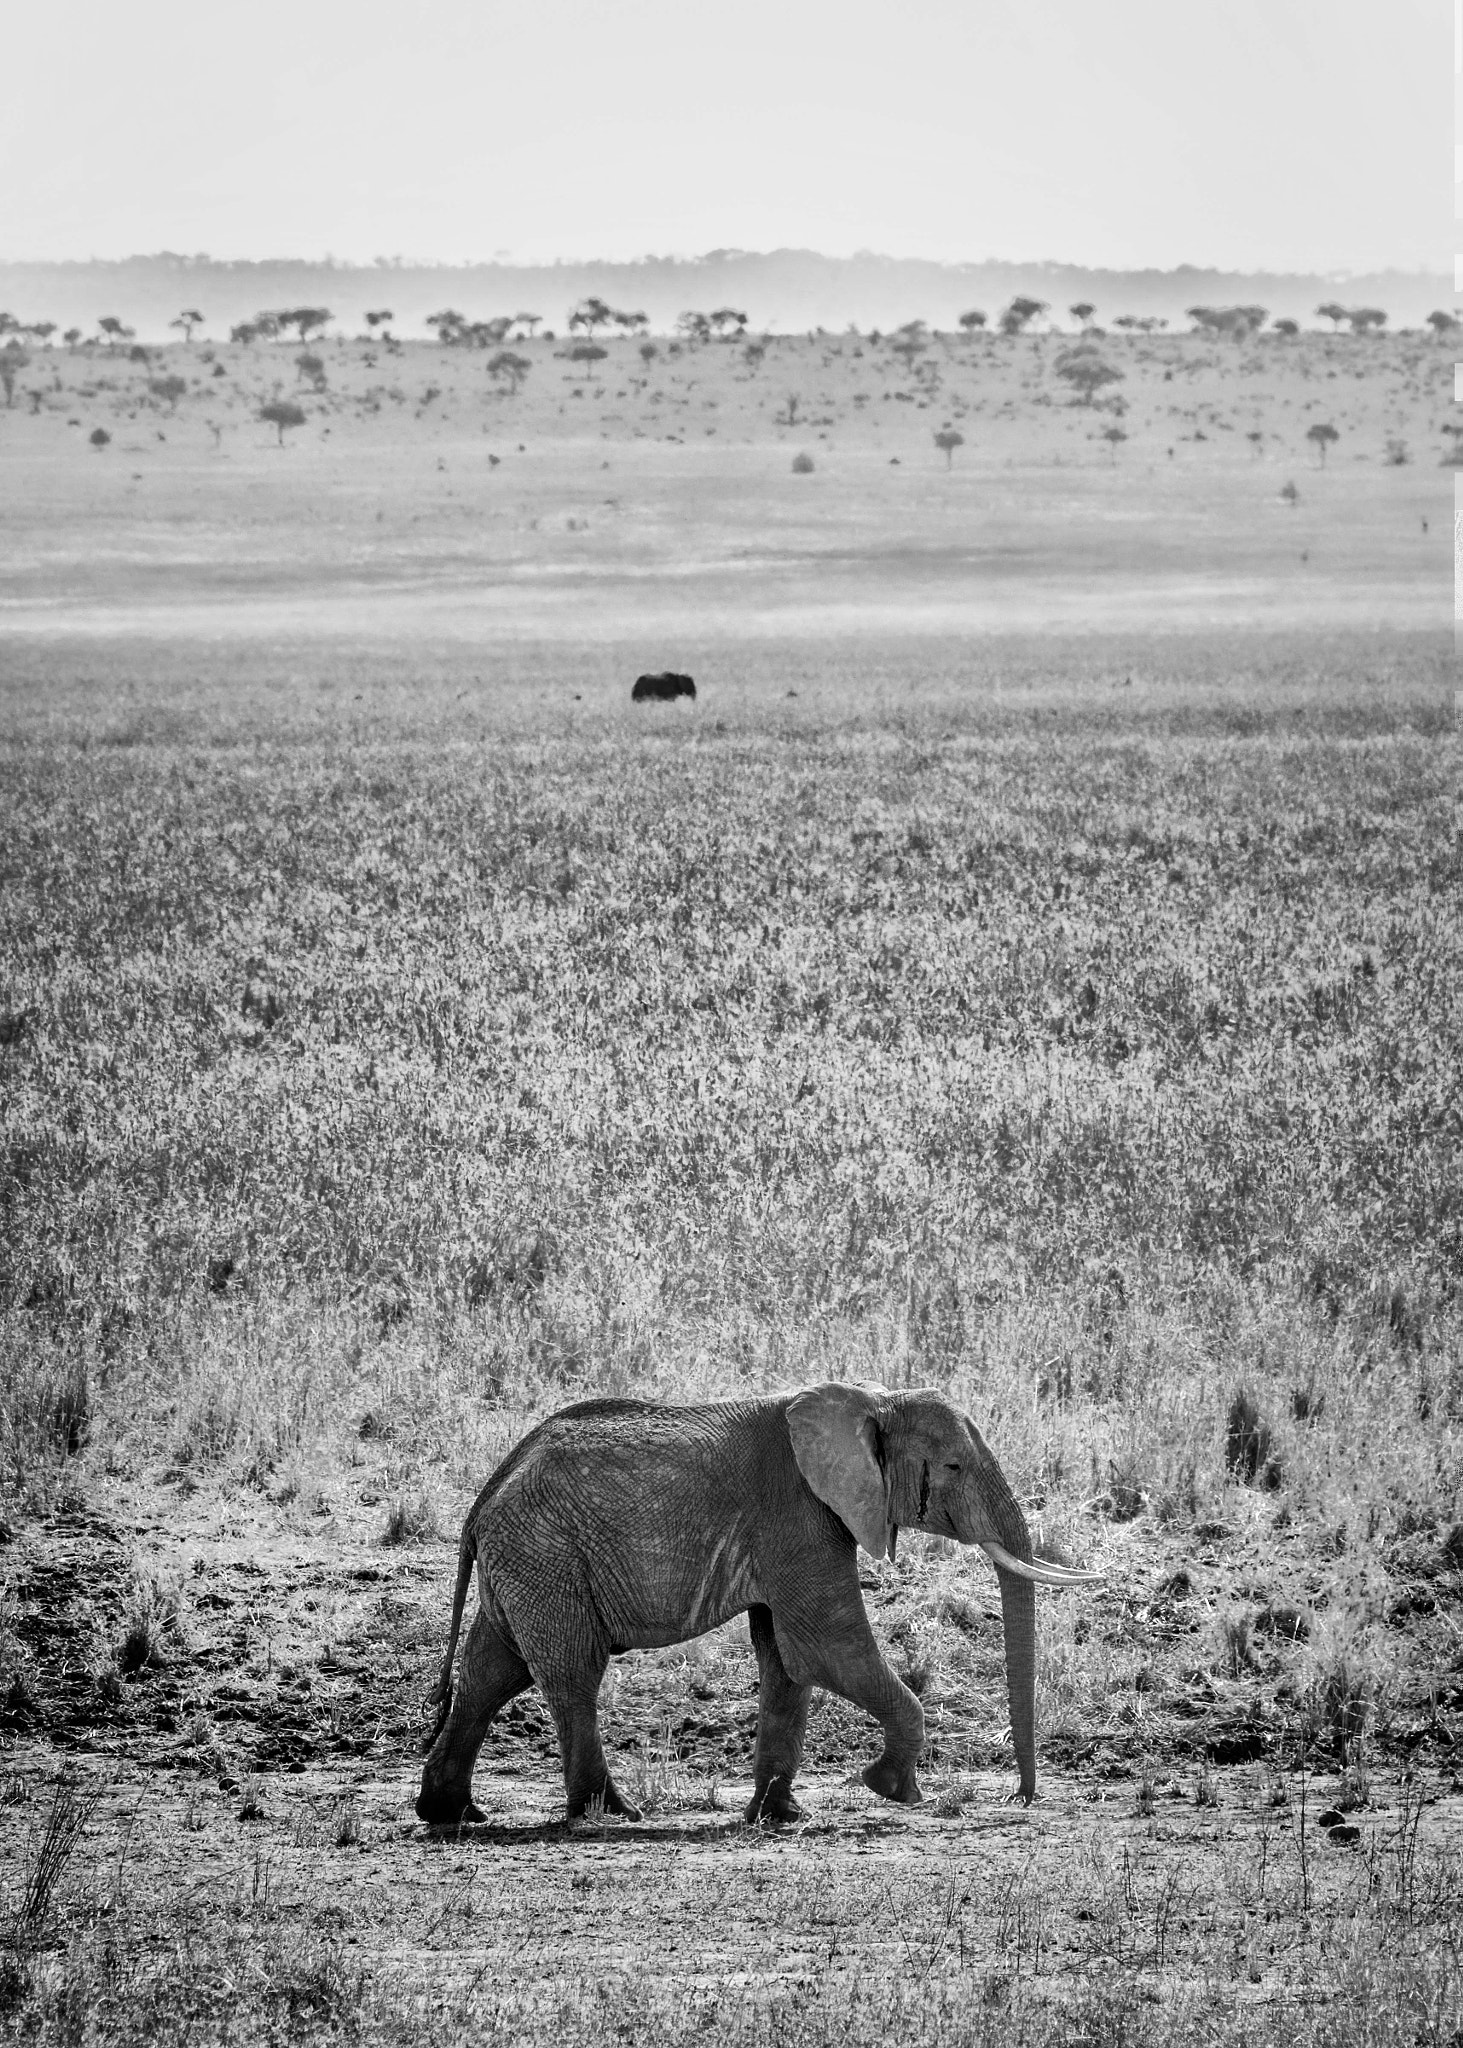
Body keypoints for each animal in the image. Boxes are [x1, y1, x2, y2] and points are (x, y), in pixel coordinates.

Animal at [413, 1384, 1098, 1835]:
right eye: (953, 1466)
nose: (1018, 1800)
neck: (871, 1401)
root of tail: (486, 1493)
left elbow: (787, 1663)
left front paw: (781, 1816)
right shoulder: (800, 1516)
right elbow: (826, 1648)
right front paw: (893, 1790)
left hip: (526, 1559)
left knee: (492, 1670)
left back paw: (453, 1816)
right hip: (546, 1552)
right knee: (570, 1672)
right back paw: (612, 1814)